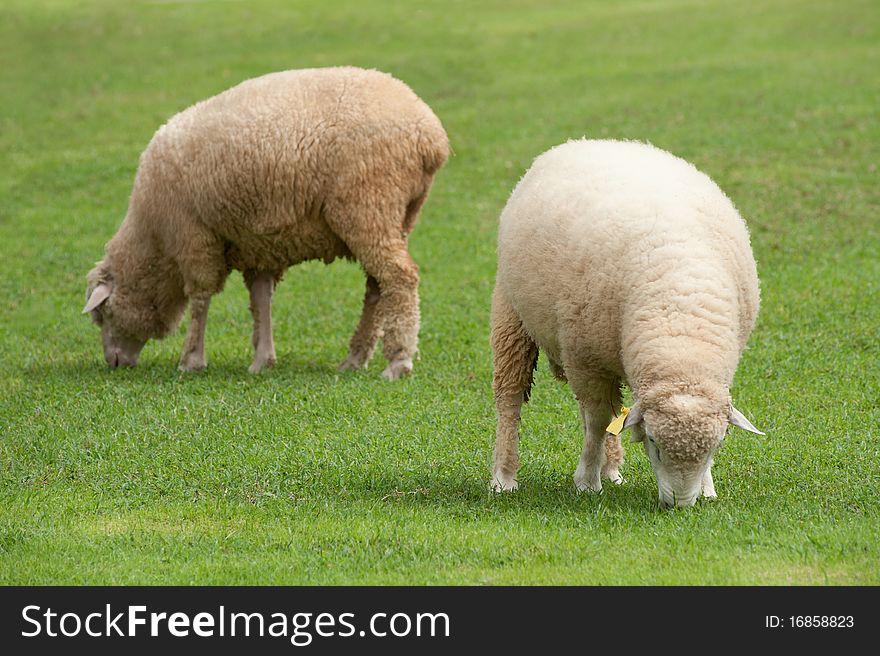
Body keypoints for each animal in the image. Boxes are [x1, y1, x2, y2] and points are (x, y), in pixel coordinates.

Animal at [82, 66, 446, 380]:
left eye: (102, 315)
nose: (113, 363)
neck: (154, 244)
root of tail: (430, 135)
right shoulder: (256, 246)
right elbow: (261, 301)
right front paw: (262, 360)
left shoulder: (194, 237)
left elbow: (200, 299)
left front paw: (191, 359)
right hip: (395, 216)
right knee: (376, 285)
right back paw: (354, 358)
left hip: (368, 204)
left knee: (399, 277)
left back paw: (398, 361)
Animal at [488, 138, 764, 508]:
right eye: (654, 444)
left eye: (716, 447)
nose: (679, 505)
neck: (681, 325)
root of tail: (589, 141)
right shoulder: (585, 360)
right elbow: (597, 423)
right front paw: (586, 482)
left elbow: (608, 421)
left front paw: (706, 487)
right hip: (511, 314)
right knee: (511, 401)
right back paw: (504, 477)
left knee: (615, 409)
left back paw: (612, 470)